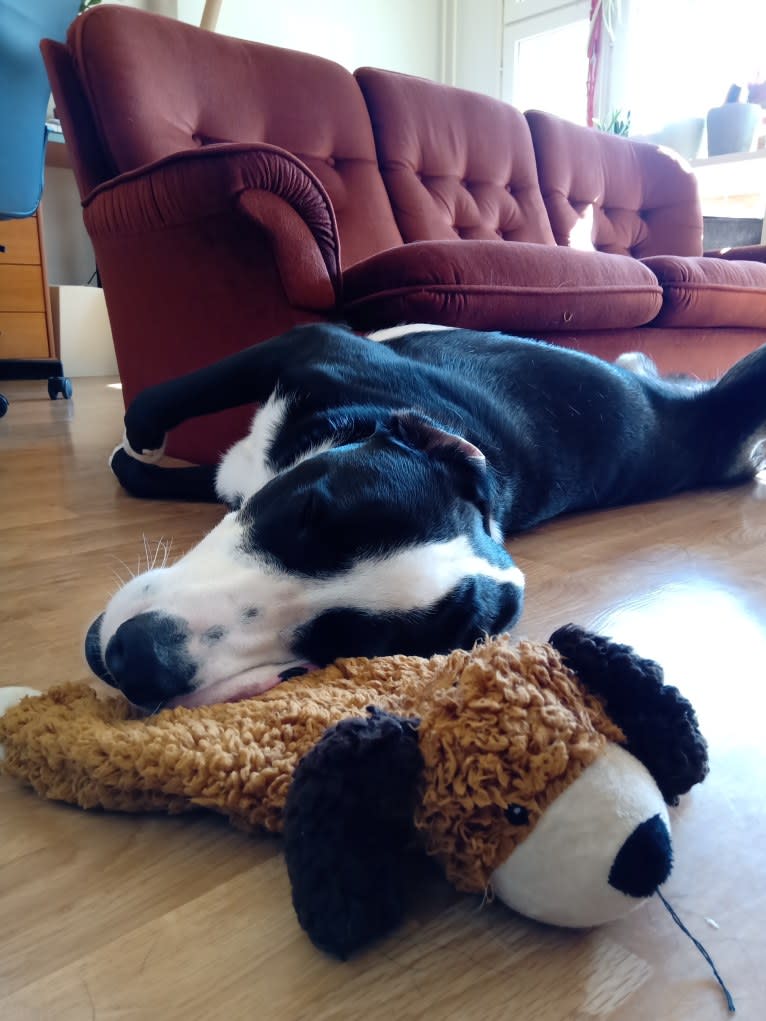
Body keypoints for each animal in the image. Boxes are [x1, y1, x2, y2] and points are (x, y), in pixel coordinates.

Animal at [86, 326, 763, 710]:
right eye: (306, 510)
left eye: (345, 644)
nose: (139, 659)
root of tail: (707, 411)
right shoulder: (308, 346)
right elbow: (156, 413)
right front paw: (141, 442)